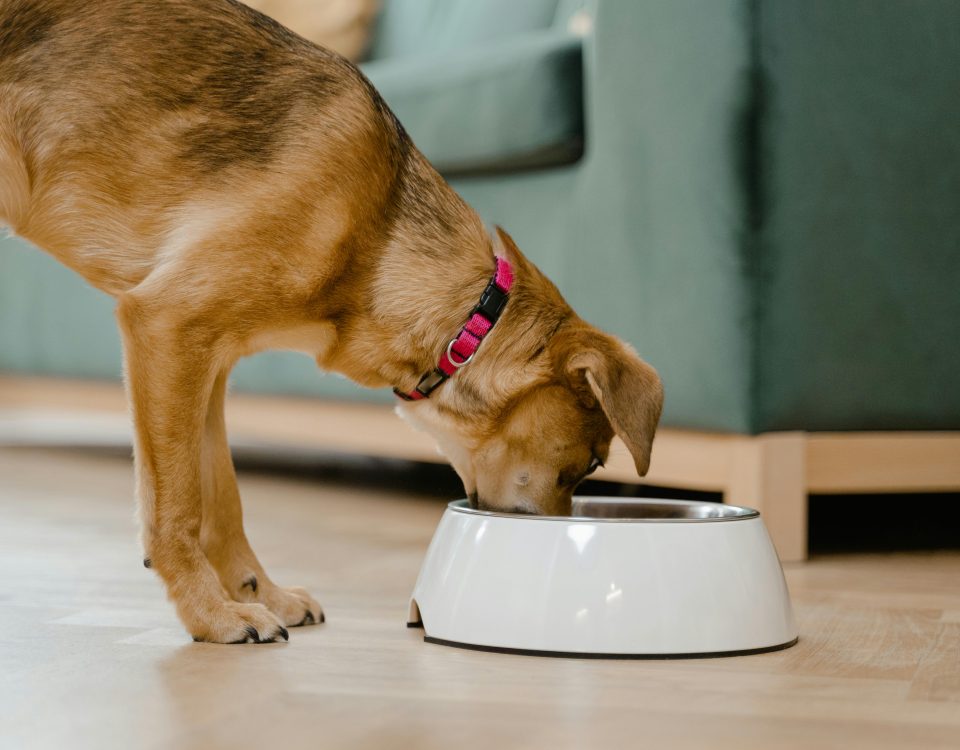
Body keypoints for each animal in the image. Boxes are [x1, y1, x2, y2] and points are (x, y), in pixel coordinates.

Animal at [0, 1, 664, 648]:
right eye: (593, 464)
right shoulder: (167, 325)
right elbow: (178, 506)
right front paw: (212, 616)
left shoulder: (206, 362)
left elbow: (223, 498)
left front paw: (257, 593)